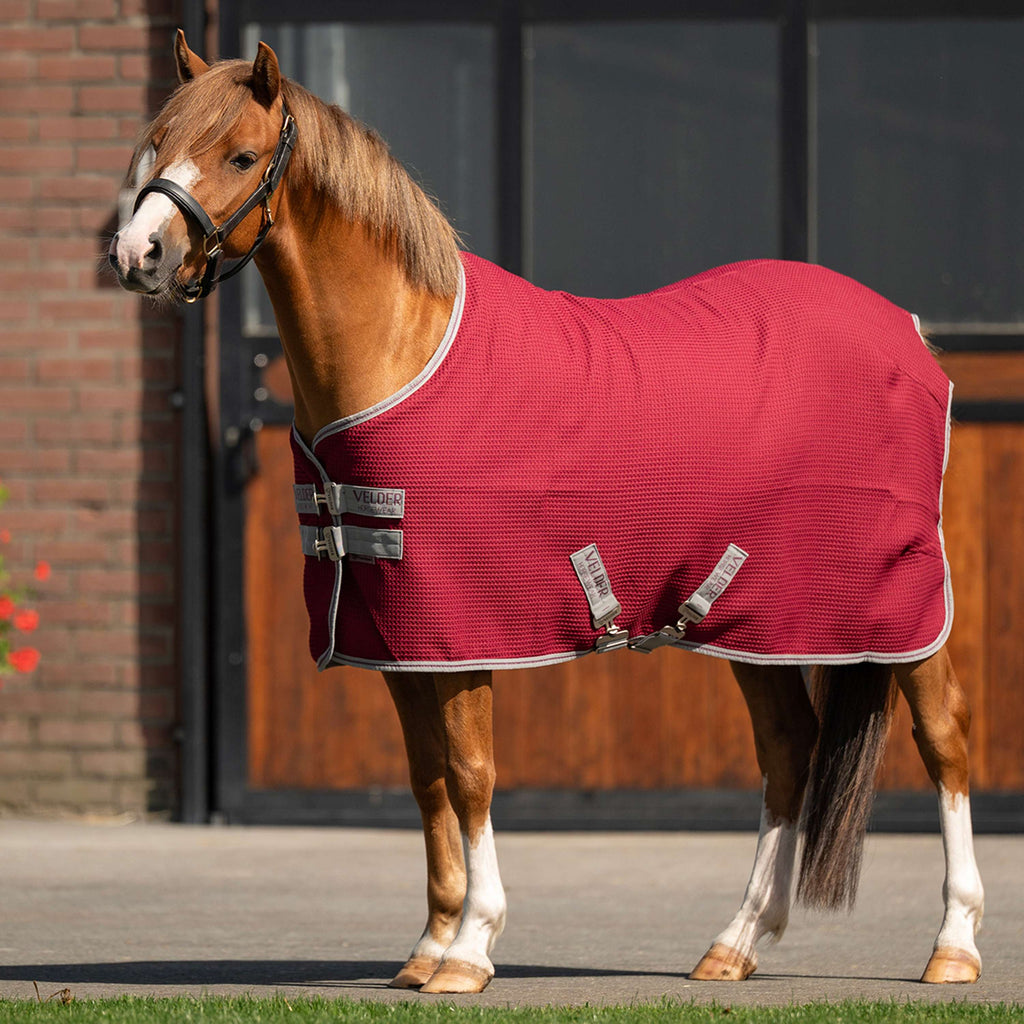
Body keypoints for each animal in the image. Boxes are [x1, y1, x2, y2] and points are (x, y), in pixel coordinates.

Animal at [109, 32, 985, 994]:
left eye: (240, 156)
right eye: (157, 141)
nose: (138, 254)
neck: (403, 346)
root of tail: (906, 331)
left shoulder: (463, 627)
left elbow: (472, 774)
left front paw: (471, 949)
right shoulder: (394, 633)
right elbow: (426, 778)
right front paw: (428, 947)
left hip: (903, 609)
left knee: (944, 738)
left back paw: (953, 945)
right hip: (759, 617)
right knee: (789, 748)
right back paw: (735, 944)